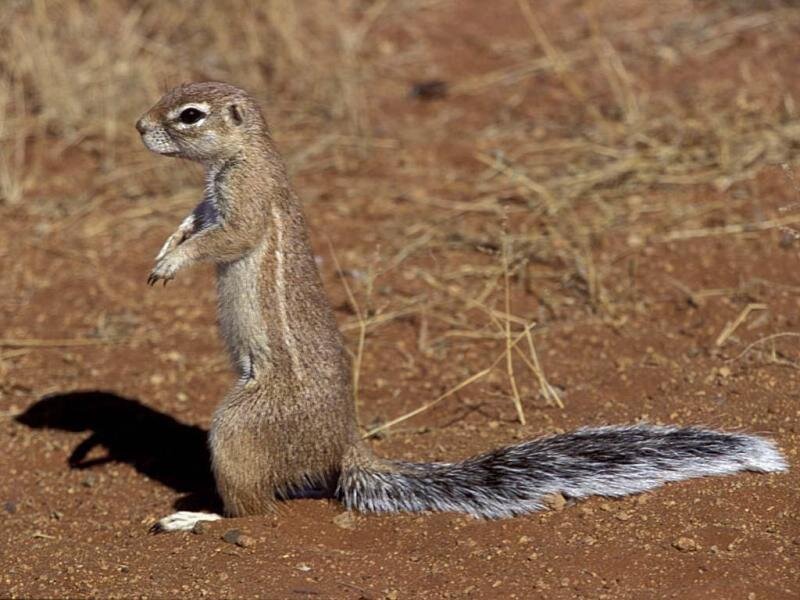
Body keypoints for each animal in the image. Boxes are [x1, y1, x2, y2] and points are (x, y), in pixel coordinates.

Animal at [136, 82, 787, 532]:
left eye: (189, 114)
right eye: (169, 94)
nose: (139, 125)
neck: (244, 154)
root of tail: (345, 445)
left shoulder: (246, 205)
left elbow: (225, 239)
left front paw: (172, 263)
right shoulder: (208, 201)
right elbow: (192, 222)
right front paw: (165, 248)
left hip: (241, 425)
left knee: (257, 510)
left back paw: (196, 517)